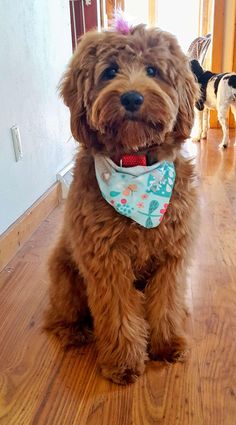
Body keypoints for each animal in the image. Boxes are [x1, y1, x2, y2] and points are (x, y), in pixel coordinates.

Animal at [44, 24, 199, 386]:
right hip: (64, 273)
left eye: (153, 71)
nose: (131, 98)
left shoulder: (172, 255)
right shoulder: (106, 260)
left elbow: (166, 302)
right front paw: (124, 363)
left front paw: (167, 343)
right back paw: (75, 331)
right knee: (57, 315)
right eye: (110, 72)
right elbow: (117, 313)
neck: (135, 164)